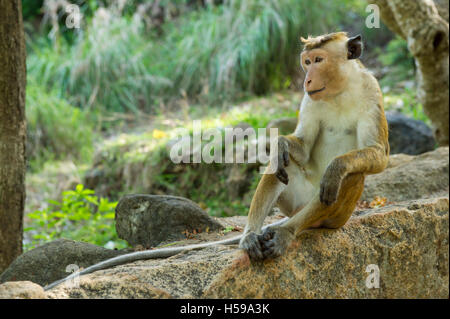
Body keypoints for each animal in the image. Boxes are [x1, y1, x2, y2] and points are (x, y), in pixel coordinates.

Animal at [239, 32, 390, 262]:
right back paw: (251, 236)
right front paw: (280, 143)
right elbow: (303, 147)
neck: (340, 91)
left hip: (338, 217)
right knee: (282, 164)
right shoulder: (308, 100)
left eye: (319, 60)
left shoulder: (372, 91)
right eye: (307, 62)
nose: (307, 80)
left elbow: (379, 153)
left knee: (350, 176)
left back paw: (286, 232)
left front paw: (336, 167)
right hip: (296, 202)